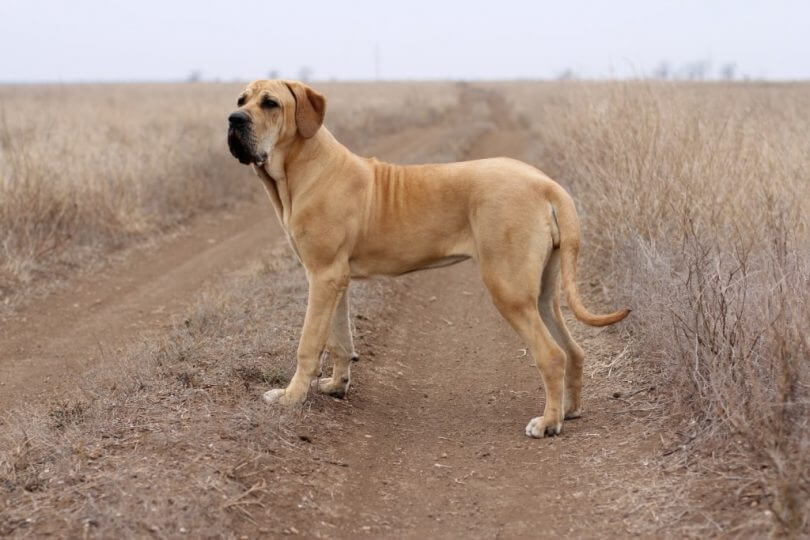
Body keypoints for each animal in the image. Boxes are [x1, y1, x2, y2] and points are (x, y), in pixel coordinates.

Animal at [224, 80, 628, 436]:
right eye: (241, 99)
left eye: (270, 103)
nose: (233, 119)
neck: (301, 166)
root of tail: (547, 185)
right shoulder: (335, 278)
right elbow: (339, 340)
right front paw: (337, 385)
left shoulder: (322, 276)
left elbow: (309, 344)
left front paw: (291, 397)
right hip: (543, 293)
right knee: (573, 350)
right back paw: (570, 411)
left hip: (509, 289)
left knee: (552, 354)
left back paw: (547, 423)